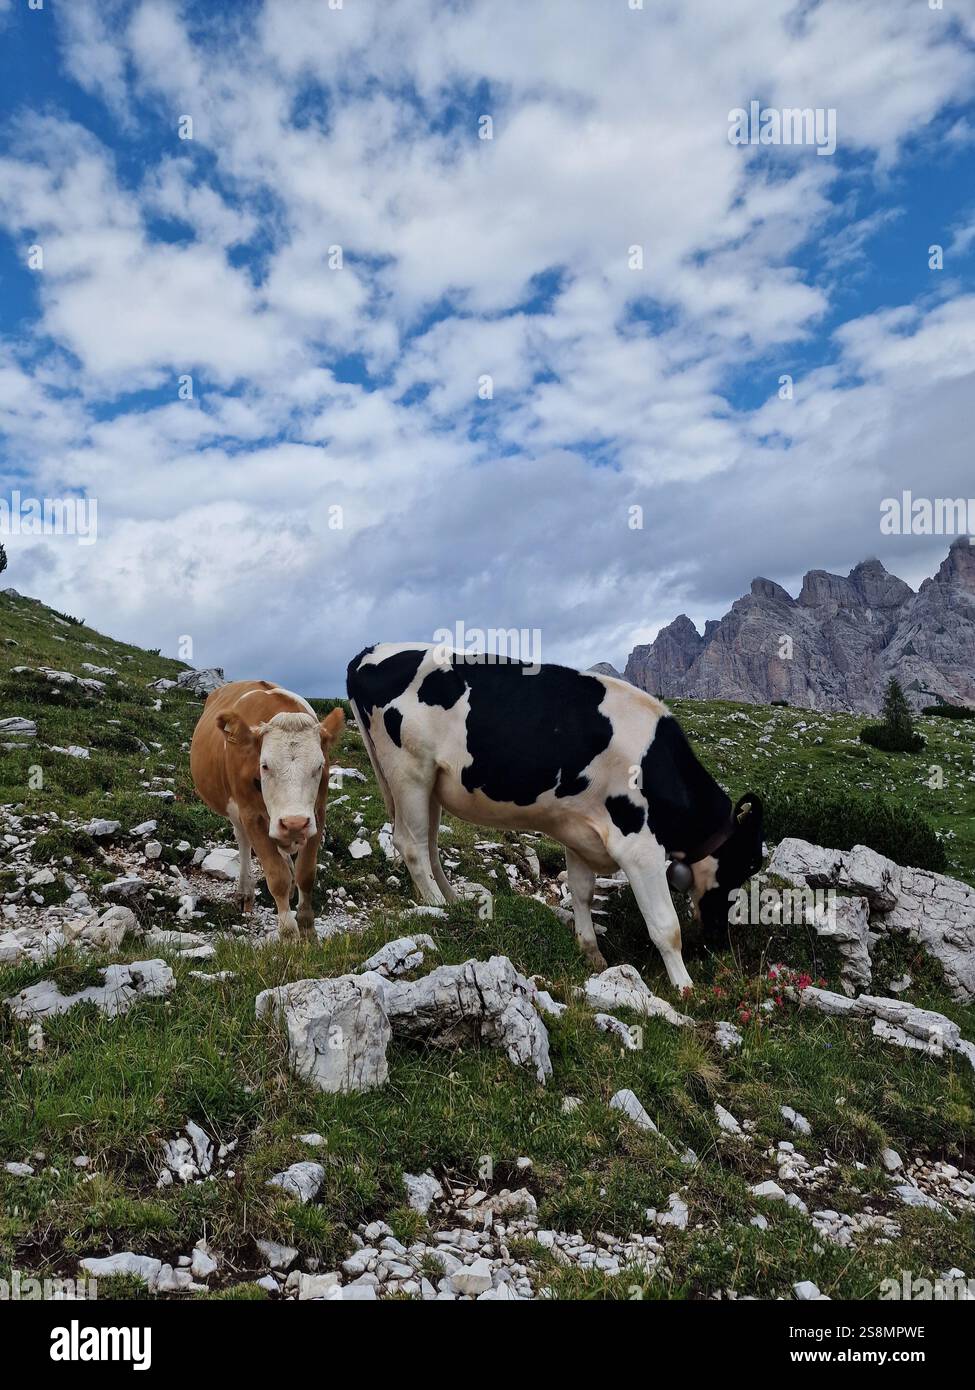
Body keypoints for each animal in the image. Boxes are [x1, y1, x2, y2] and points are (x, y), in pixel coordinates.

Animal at [190, 680, 344, 938]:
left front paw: (307, 927)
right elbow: (276, 876)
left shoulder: (316, 814)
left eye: (319, 766)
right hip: (237, 811)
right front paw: (289, 934)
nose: (294, 822)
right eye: (265, 766)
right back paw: (245, 891)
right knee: (243, 840)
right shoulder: (251, 814)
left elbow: (306, 873)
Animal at [346, 644, 763, 991]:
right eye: (747, 865)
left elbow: (581, 892)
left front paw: (592, 953)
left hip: (432, 783)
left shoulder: (580, 832)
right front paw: (685, 987)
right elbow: (665, 927)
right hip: (409, 770)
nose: (719, 938)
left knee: (430, 844)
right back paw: (437, 905)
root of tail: (370, 651)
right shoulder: (638, 846)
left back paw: (454, 900)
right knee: (411, 843)